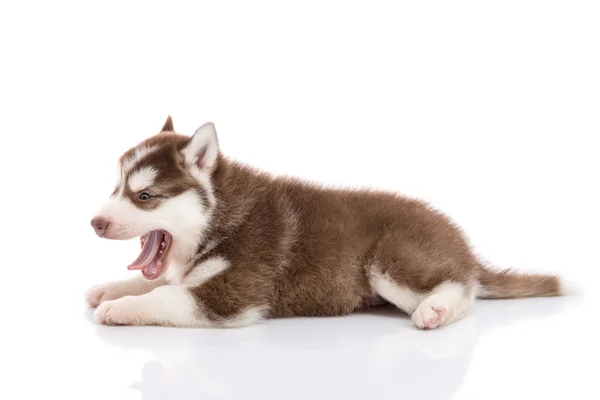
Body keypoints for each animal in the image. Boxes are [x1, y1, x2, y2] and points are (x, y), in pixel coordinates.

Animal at [85, 115, 576, 328]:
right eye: (116, 188)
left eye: (144, 197)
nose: (95, 224)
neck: (220, 215)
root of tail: (462, 244)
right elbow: (153, 281)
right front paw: (111, 288)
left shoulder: (236, 294)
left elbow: (168, 296)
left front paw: (120, 308)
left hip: (392, 258)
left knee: (462, 287)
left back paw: (435, 309)